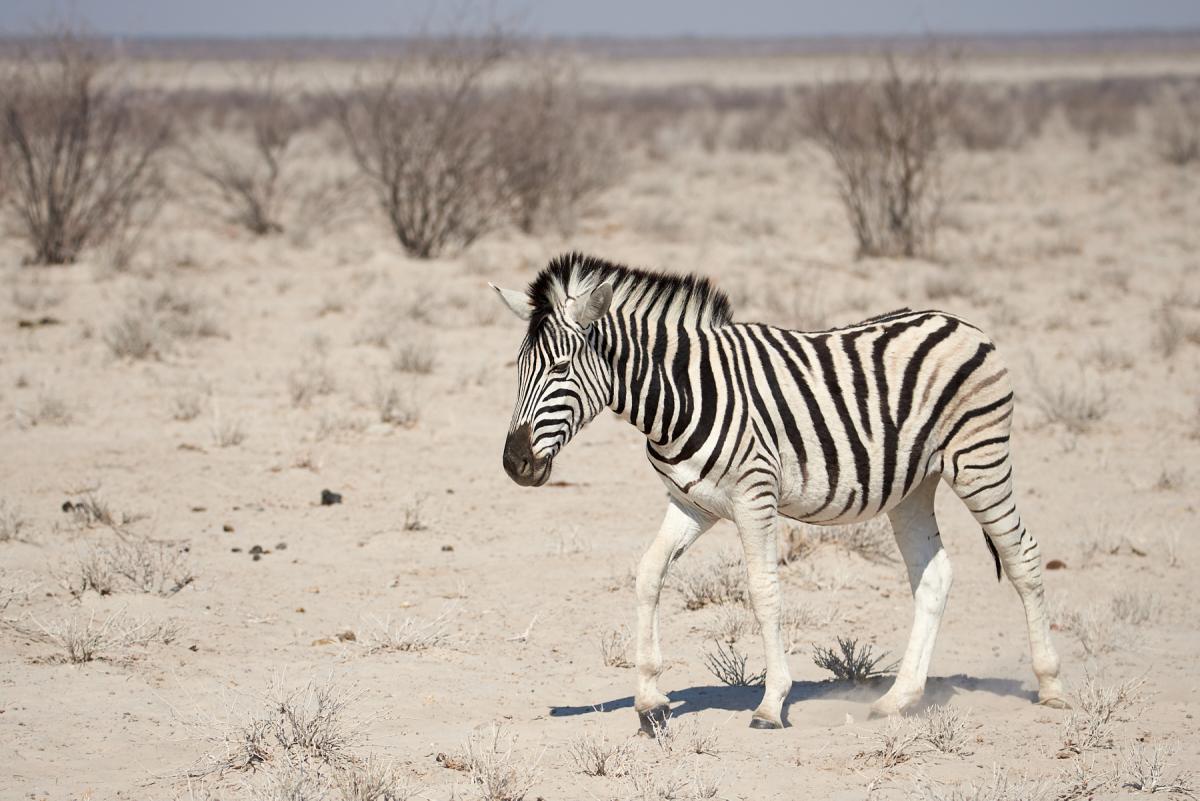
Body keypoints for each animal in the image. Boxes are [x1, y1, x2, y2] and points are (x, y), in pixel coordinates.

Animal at [491, 253, 1067, 731]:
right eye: (518, 370)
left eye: (560, 368)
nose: (515, 464)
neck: (681, 395)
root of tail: (960, 321)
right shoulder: (691, 504)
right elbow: (649, 574)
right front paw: (650, 700)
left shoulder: (755, 497)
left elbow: (763, 591)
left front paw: (770, 705)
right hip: (914, 486)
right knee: (934, 576)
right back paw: (897, 700)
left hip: (979, 461)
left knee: (1023, 556)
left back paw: (1051, 685)